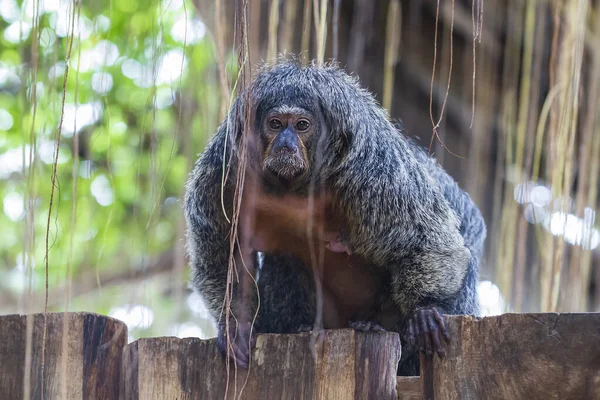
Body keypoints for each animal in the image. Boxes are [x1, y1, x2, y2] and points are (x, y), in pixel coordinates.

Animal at [184, 58, 488, 376]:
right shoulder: (224, 170)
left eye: (302, 125)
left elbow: (427, 237)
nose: (286, 144)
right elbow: (225, 254)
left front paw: (425, 308)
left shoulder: (373, 164)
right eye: (275, 124)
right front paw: (236, 325)